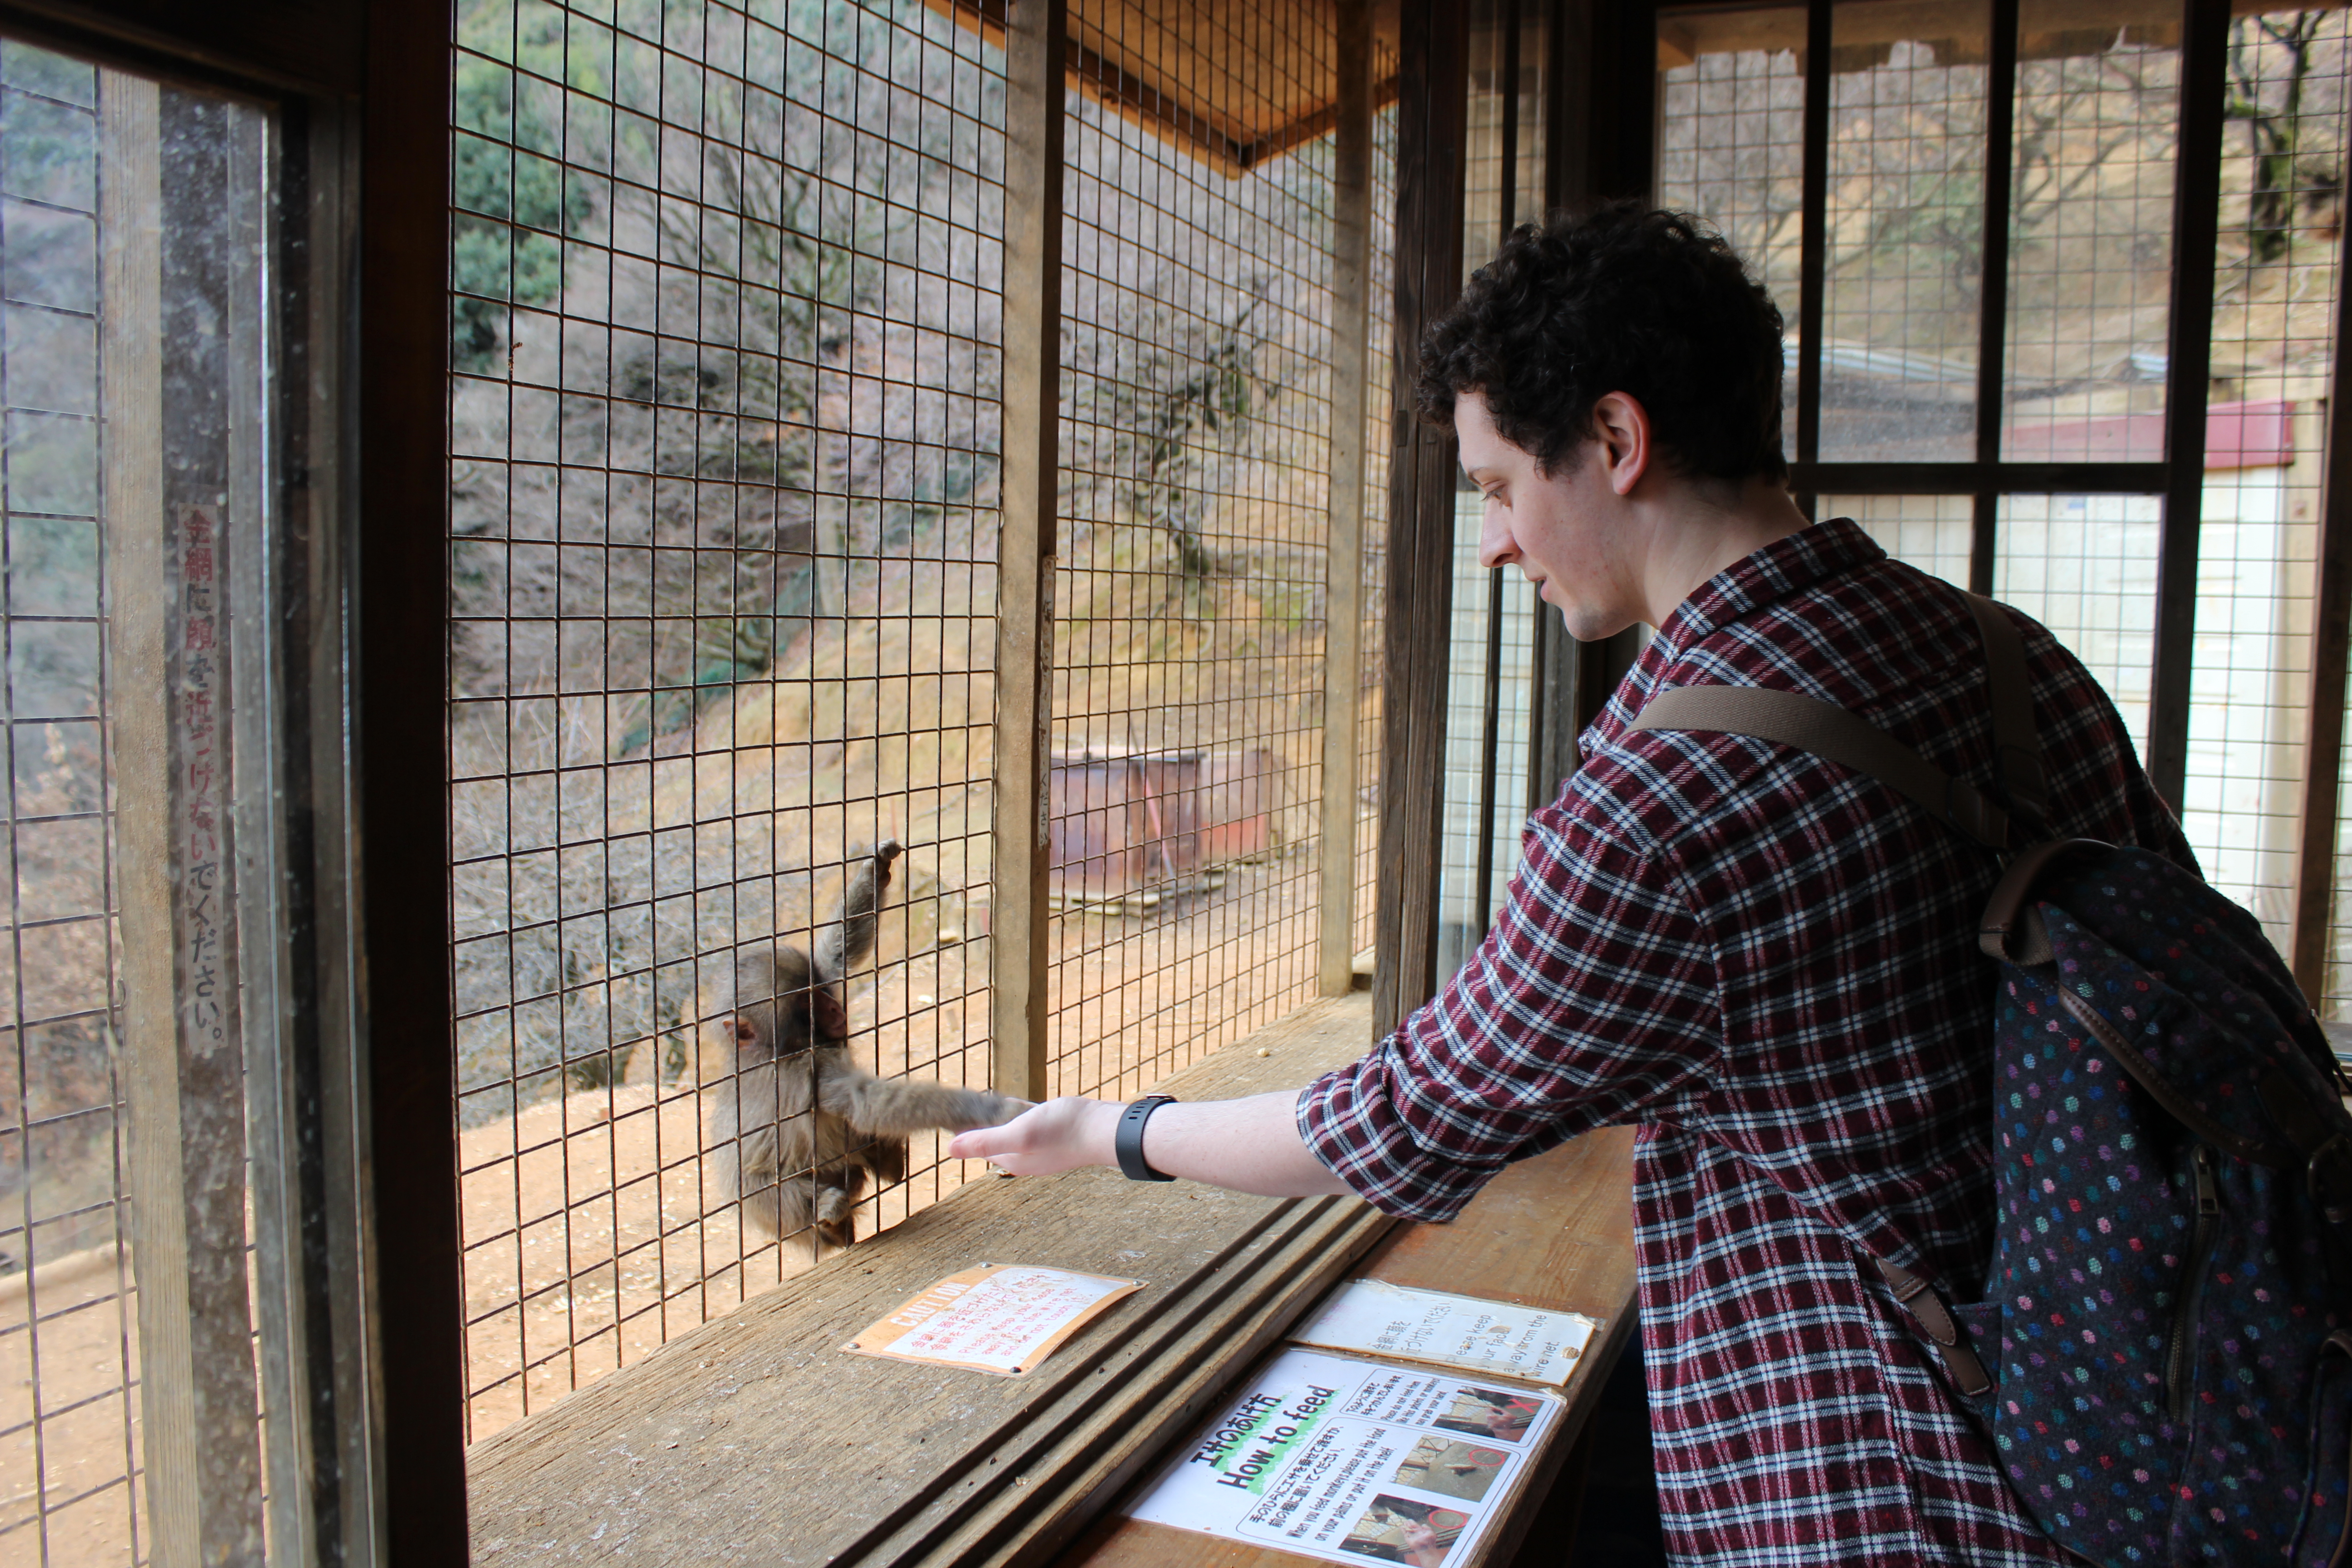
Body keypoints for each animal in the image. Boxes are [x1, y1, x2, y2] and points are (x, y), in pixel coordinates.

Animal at [701, 841, 1025, 1260]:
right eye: (806, 1004)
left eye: (818, 992)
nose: (835, 1009)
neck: (779, 1048)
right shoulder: (808, 1067)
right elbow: (867, 1104)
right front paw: (988, 1110)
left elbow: (836, 955)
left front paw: (876, 869)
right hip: (767, 1211)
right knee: (778, 1190)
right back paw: (830, 1214)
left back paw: (886, 1162)